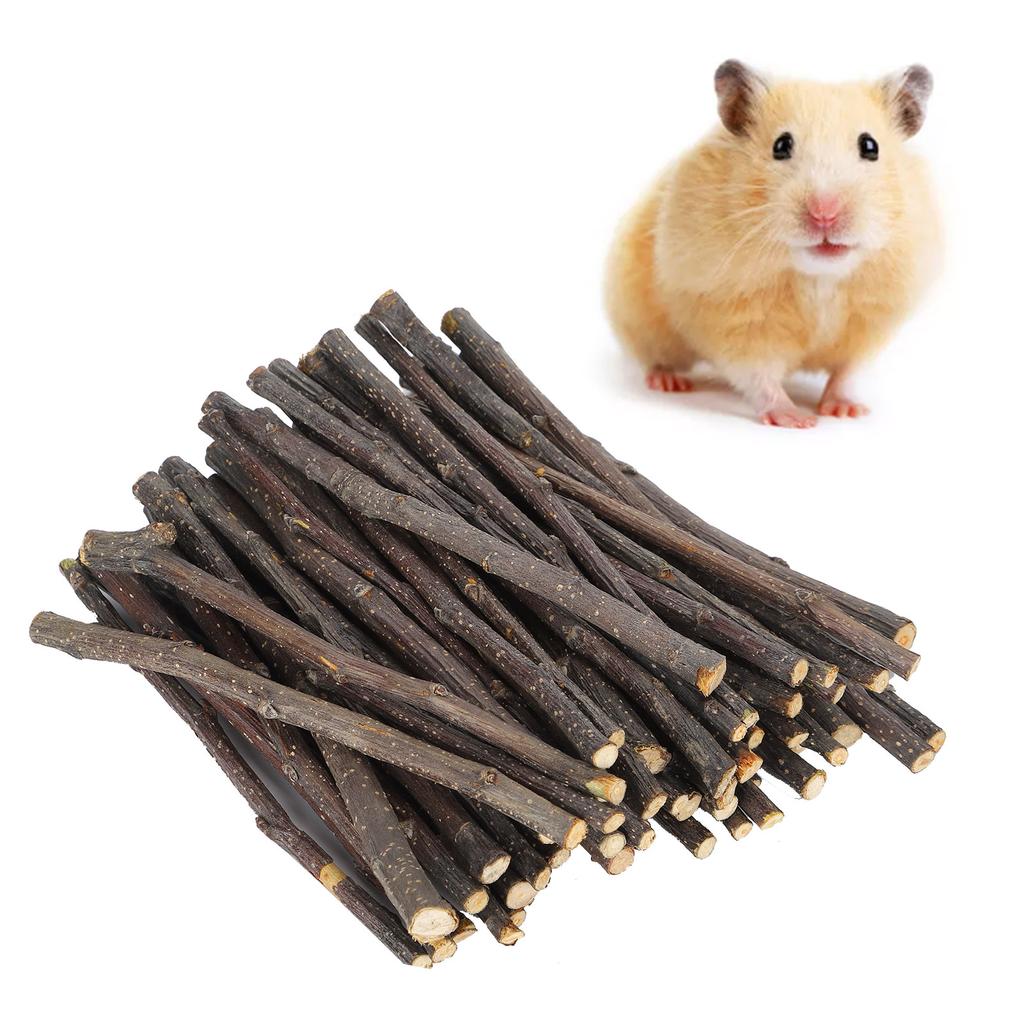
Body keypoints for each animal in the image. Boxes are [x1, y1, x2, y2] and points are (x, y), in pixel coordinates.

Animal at [605, 61, 940, 427]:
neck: (819, 276)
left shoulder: (870, 325)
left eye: (870, 147)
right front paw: (798, 419)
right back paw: (668, 382)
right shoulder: (733, 320)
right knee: (654, 356)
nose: (825, 213)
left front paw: (846, 411)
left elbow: (848, 372)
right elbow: (759, 375)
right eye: (781, 145)